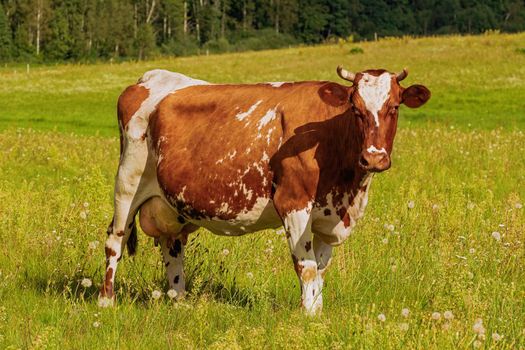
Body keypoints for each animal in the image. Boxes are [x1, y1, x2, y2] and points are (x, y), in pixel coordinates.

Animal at [98, 66, 430, 314]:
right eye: (356, 109)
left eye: (394, 107)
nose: (373, 157)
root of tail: (148, 78)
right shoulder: (293, 203)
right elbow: (307, 267)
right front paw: (308, 317)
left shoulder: (330, 217)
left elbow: (321, 269)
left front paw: (318, 311)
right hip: (127, 185)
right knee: (115, 241)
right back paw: (106, 301)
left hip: (172, 206)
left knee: (173, 249)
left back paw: (179, 302)